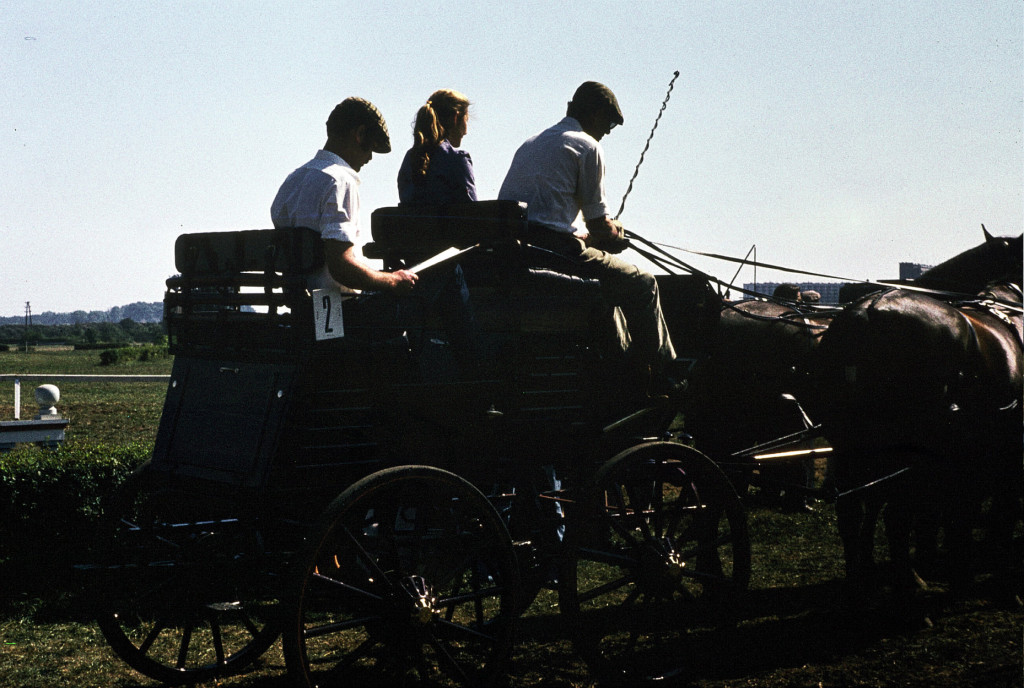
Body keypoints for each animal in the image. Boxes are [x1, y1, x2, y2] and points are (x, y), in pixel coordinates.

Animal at [811, 231, 1019, 614]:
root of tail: (866, 318)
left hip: (851, 442)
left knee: (851, 508)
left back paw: (859, 586)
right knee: (896, 515)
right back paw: (908, 588)